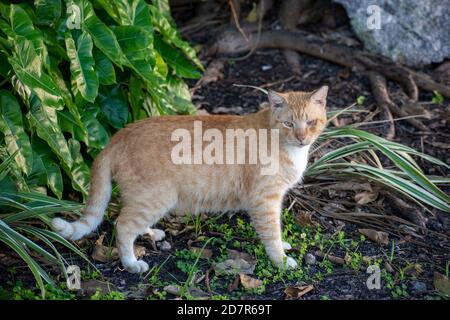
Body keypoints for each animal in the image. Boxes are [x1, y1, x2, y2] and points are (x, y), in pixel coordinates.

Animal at [52, 86, 328, 274]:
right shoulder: (264, 200)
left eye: (311, 122)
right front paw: (280, 260)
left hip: (145, 200)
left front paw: (283, 247)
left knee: (128, 218)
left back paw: (150, 233)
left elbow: (276, 230)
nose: (302, 138)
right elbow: (271, 233)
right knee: (122, 225)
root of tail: (118, 136)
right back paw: (131, 263)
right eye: (289, 124)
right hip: (156, 198)